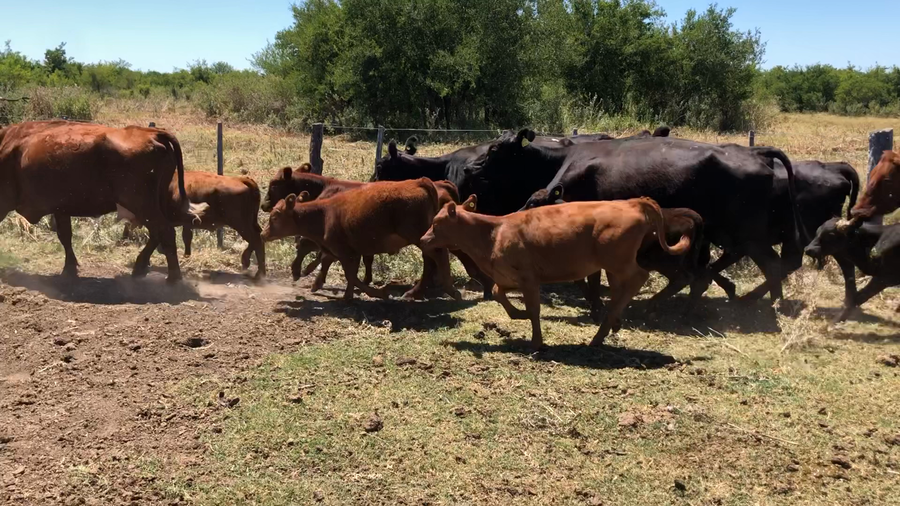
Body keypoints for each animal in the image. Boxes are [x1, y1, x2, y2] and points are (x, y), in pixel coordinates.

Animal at [0, 120, 207, 282]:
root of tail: (152, 132)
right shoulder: (61, 208)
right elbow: (65, 236)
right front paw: (70, 268)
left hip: (142, 205)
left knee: (165, 231)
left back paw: (173, 277)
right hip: (152, 204)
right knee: (159, 233)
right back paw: (141, 267)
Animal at [265, 165, 494, 298]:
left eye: (273, 184)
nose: (265, 205)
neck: (326, 189)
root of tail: (428, 182)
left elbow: (310, 247)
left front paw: (303, 272)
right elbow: (339, 257)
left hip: (424, 236)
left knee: (439, 257)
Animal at [420, 197, 692, 348]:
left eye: (436, 223)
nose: (423, 239)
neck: (494, 233)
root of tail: (632, 202)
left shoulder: (529, 278)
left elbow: (534, 310)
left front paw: (536, 343)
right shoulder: (509, 276)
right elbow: (498, 292)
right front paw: (518, 314)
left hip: (619, 262)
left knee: (638, 278)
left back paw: (599, 335)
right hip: (613, 267)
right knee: (619, 291)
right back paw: (612, 323)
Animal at [460, 129, 805, 303]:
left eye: (494, 150)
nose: (468, 167)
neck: (566, 159)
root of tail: (754, 151)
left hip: (748, 234)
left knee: (774, 265)